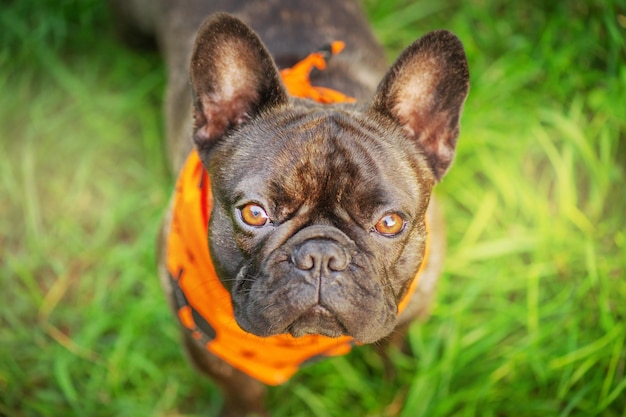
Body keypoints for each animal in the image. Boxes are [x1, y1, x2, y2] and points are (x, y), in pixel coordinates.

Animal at [109, 1, 466, 414]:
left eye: (390, 222)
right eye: (254, 213)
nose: (322, 256)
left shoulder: (410, 312)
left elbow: (391, 351)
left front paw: (396, 395)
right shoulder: (210, 353)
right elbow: (244, 397)